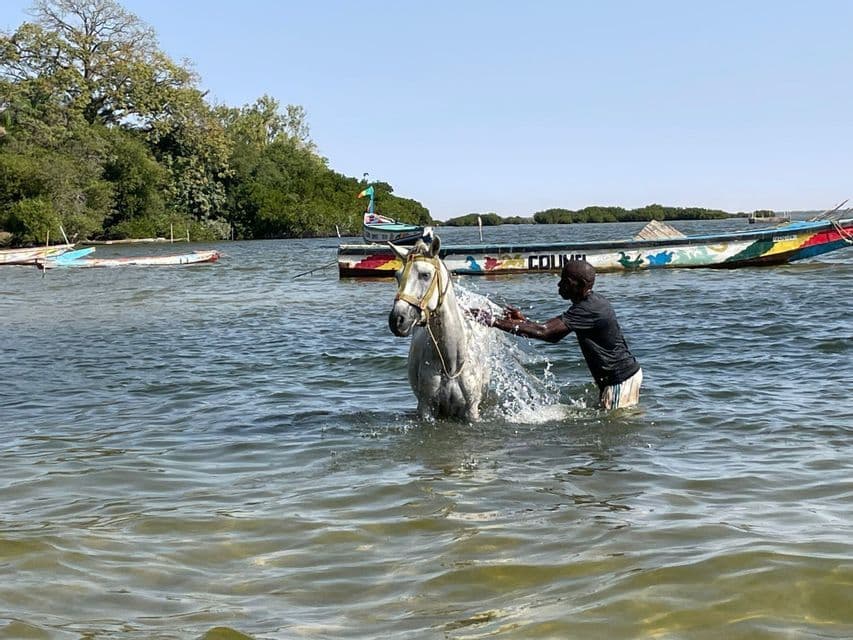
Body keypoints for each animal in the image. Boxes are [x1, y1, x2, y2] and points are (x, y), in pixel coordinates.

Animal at [387, 233, 488, 421]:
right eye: (397, 276)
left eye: (425, 275)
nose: (397, 320)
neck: (451, 362)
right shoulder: (426, 407)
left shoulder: (471, 410)